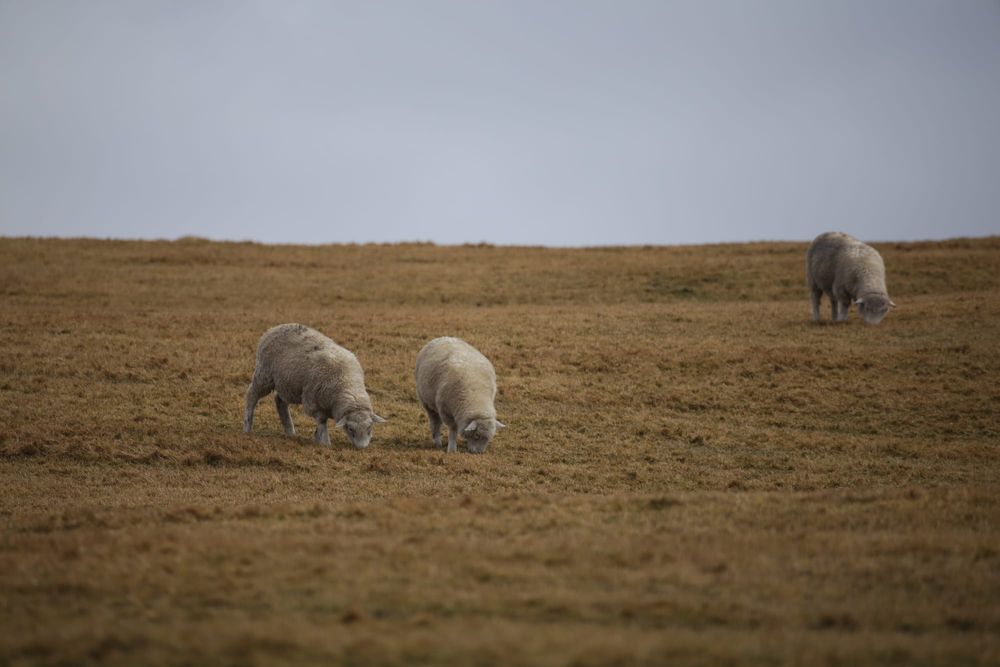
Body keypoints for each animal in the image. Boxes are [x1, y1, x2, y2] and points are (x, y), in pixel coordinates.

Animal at [243, 323, 385, 448]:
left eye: (370, 428)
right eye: (350, 429)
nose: (362, 447)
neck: (346, 382)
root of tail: (273, 328)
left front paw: (317, 437)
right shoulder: (313, 403)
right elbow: (322, 422)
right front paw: (325, 442)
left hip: (288, 383)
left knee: (279, 401)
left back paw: (290, 431)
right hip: (264, 374)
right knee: (251, 395)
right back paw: (247, 427)